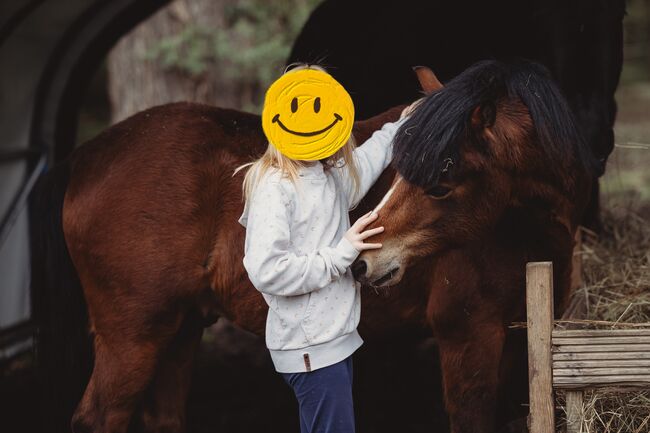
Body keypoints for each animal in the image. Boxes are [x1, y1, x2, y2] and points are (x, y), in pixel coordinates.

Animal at [27, 60, 588, 432]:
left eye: (442, 186)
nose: (363, 264)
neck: (520, 233)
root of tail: (87, 157)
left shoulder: (517, 343)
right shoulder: (467, 340)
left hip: (178, 330)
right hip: (134, 337)